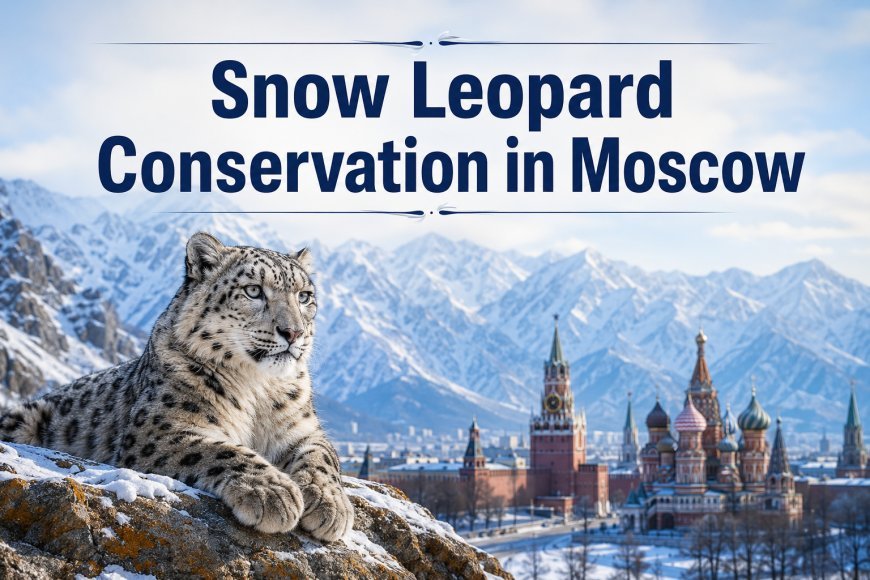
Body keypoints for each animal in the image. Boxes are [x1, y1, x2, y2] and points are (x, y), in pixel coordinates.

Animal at [0, 232, 353, 542]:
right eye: (253, 291)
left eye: (304, 297)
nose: (293, 332)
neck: (258, 389)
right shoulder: (160, 429)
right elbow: (219, 449)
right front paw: (271, 492)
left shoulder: (302, 429)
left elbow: (323, 458)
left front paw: (331, 505)